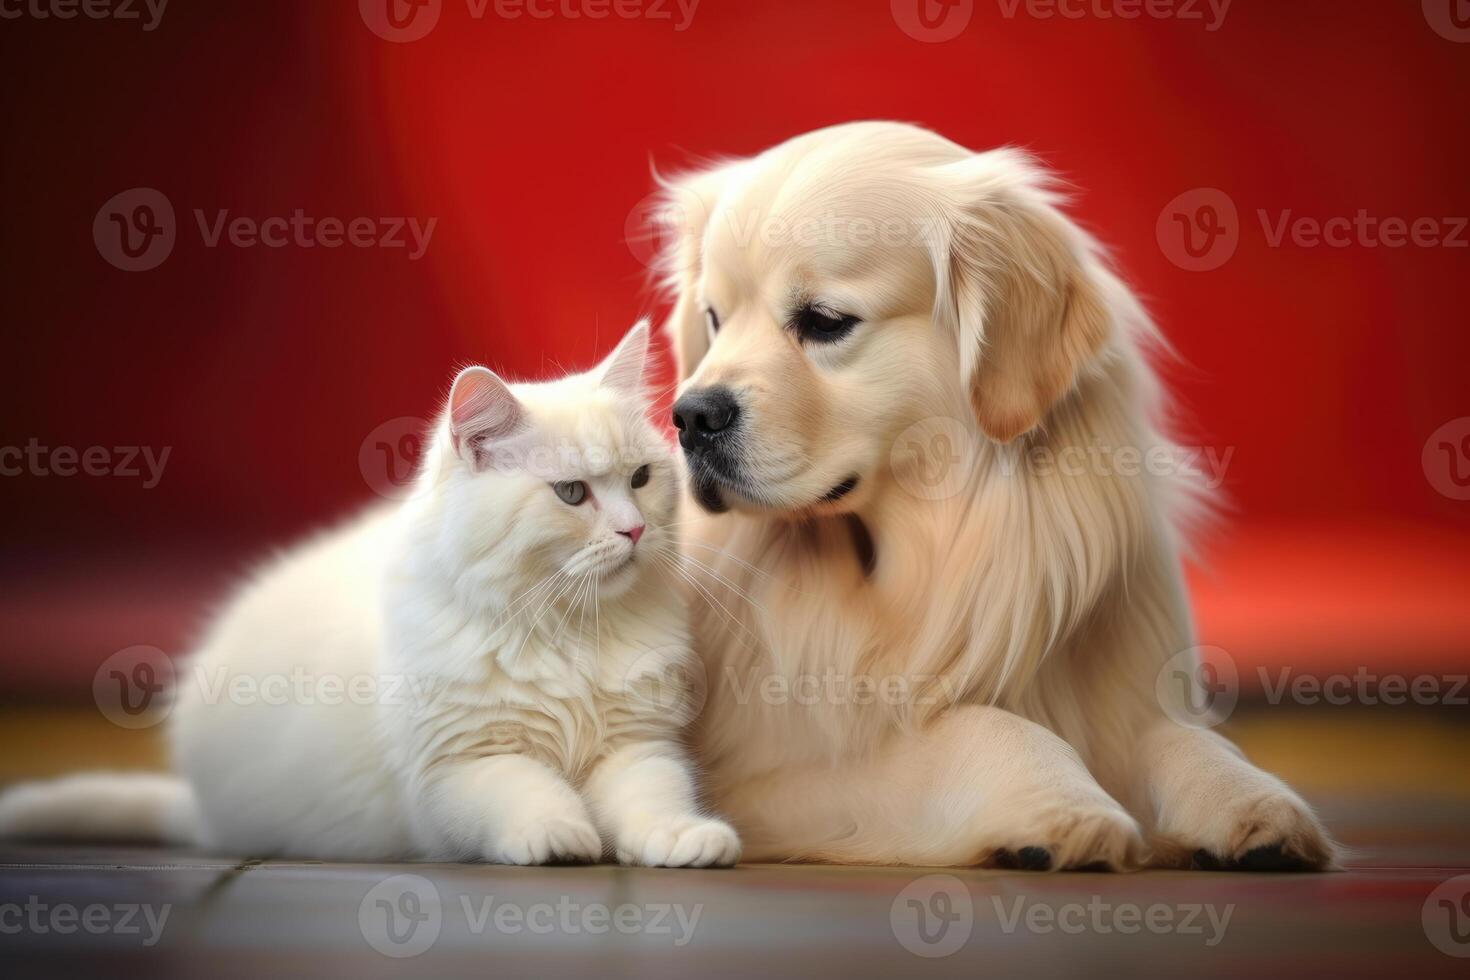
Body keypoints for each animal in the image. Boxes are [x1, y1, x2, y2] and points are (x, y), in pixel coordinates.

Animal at [0, 321, 735, 863]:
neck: (566, 628)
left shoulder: (636, 748)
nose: (634, 529)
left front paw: (684, 840)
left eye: (640, 479)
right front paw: (558, 837)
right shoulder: (462, 767)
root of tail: (205, 816)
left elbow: (654, 798)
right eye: (572, 494)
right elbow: (530, 795)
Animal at [655, 124, 1334, 875]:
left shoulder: (1126, 703)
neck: (930, 555)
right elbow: (974, 726)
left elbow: (1181, 740)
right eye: (714, 320)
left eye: (825, 321)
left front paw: (1252, 803)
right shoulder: (773, 775)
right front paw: (1068, 807)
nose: (691, 416)